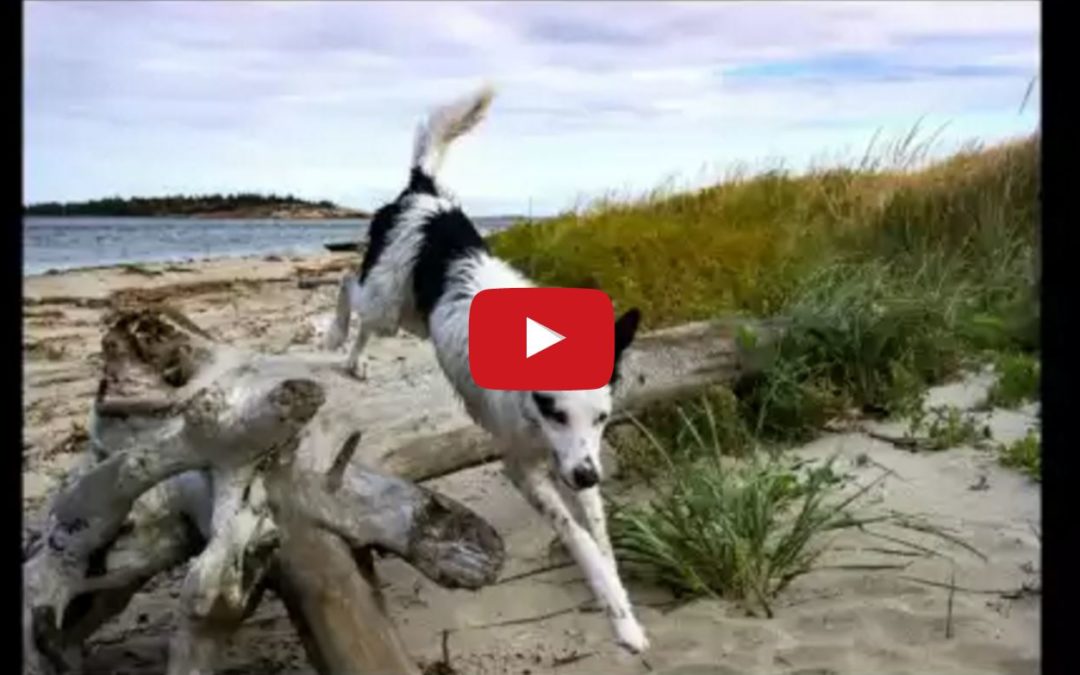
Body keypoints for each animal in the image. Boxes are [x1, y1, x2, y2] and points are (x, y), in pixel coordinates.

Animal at [324, 86, 643, 652]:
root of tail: (422, 192)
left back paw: (355, 358)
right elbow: (579, 537)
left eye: (602, 418)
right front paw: (615, 608)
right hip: (387, 299)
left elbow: (599, 534)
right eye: (554, 412)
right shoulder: (522, 468)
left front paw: (621, 610)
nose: (585, 476)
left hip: (413, 318)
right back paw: (337, 336)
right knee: (347, 284)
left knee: (365, 313)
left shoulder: (579, 460)